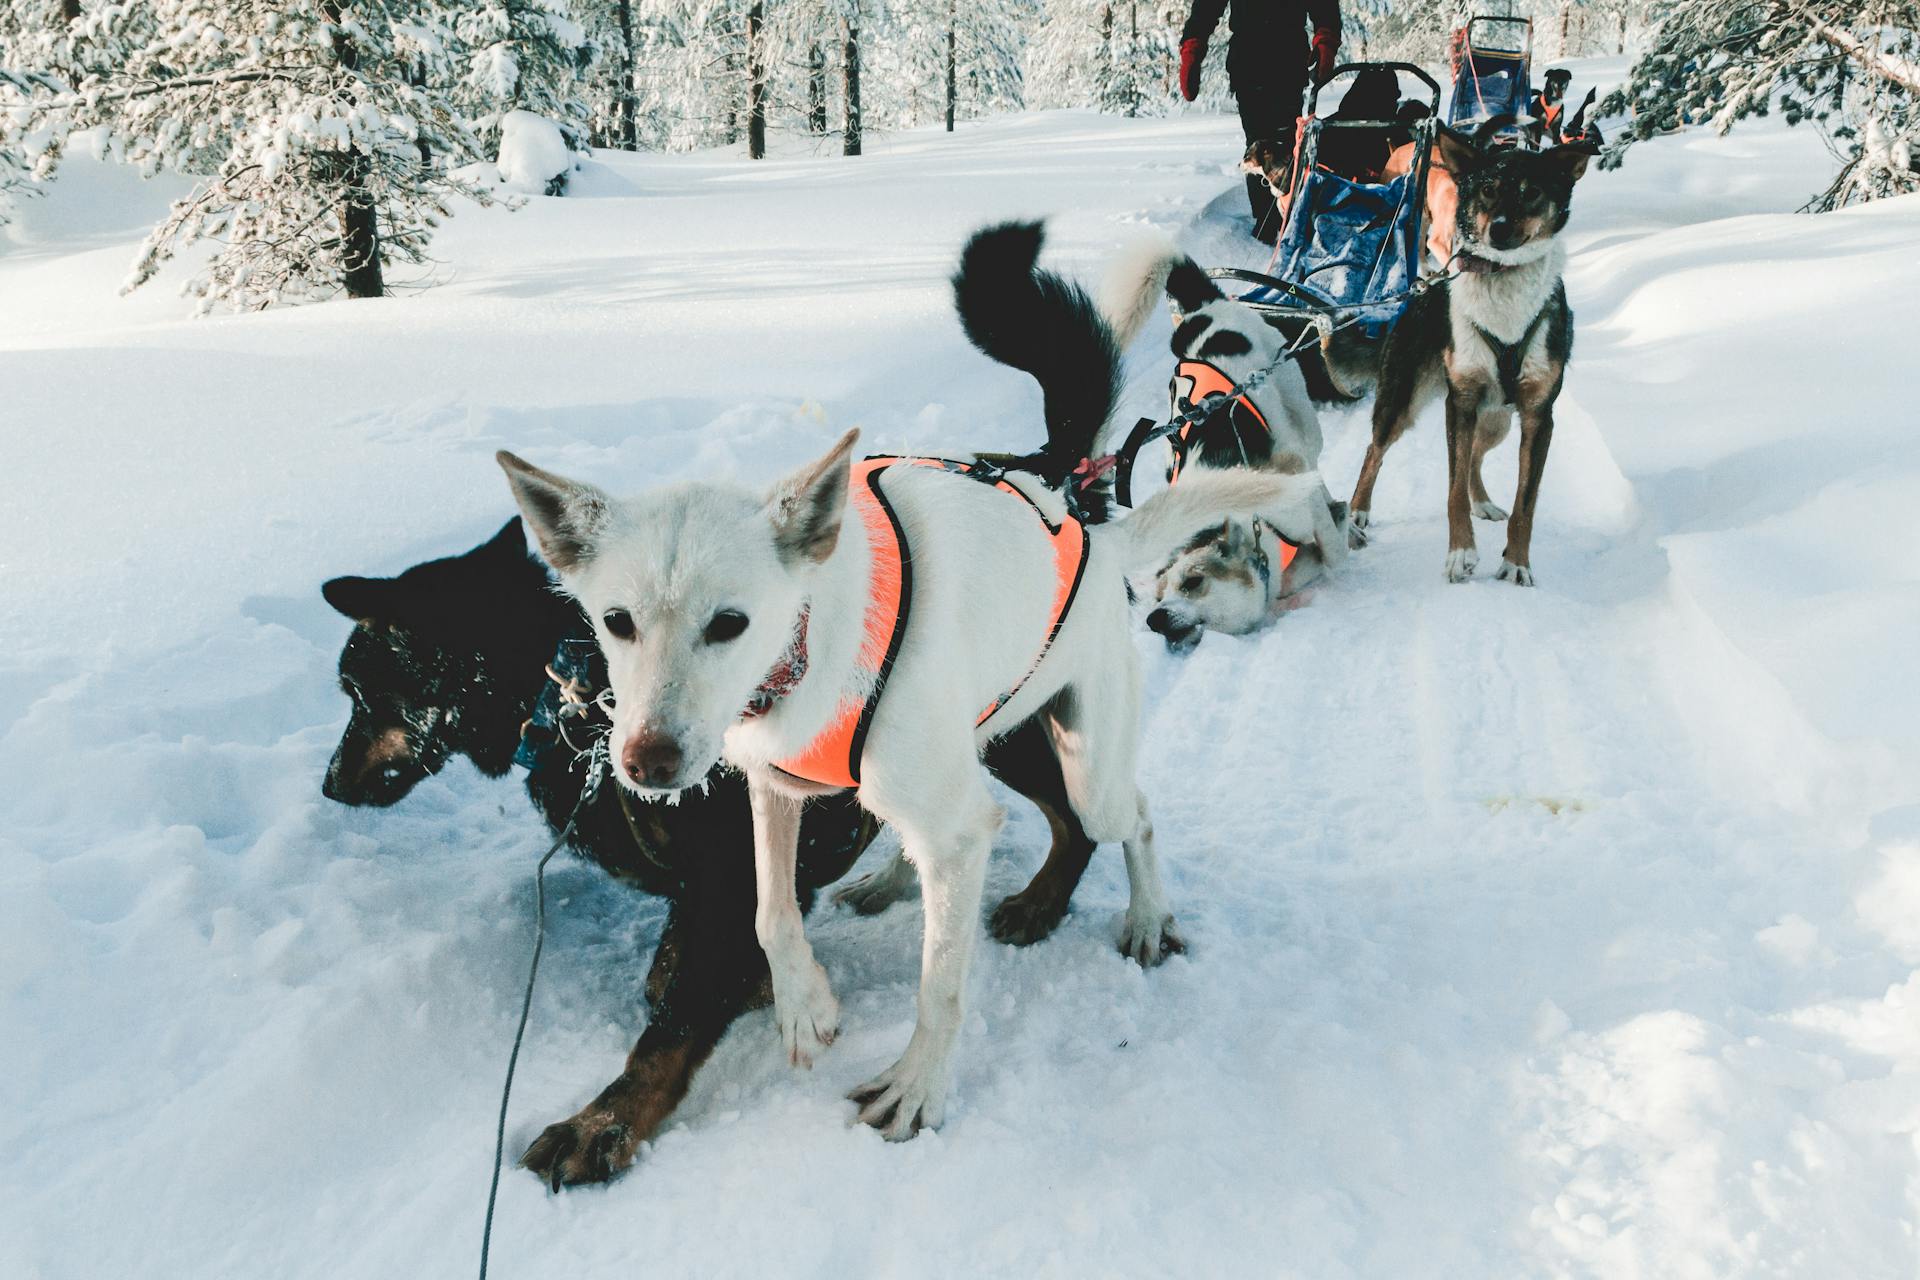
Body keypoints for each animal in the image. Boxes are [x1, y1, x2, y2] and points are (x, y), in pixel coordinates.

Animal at [322, 521, 1121, 1189]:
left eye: (361, 693)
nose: (327, 784)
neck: (576, 692)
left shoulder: (731, 881)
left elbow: (672, 1026)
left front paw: (603, 1123)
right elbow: (688, 965)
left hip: (1008, 728)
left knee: (1078, 818)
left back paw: (1043, 901)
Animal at [495, 433, 1313, 1143]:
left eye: (729, 622)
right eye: (616, 621)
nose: (648, 762)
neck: (807, 649)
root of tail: (1096, 537)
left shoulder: (948, 831)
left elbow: (939, 988)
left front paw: (917, 1089)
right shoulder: (772, 786)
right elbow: (770, 911)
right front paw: (804, 1005)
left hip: (1089, 777)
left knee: (1131, 816)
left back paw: (1146, 918)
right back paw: (890, 881)